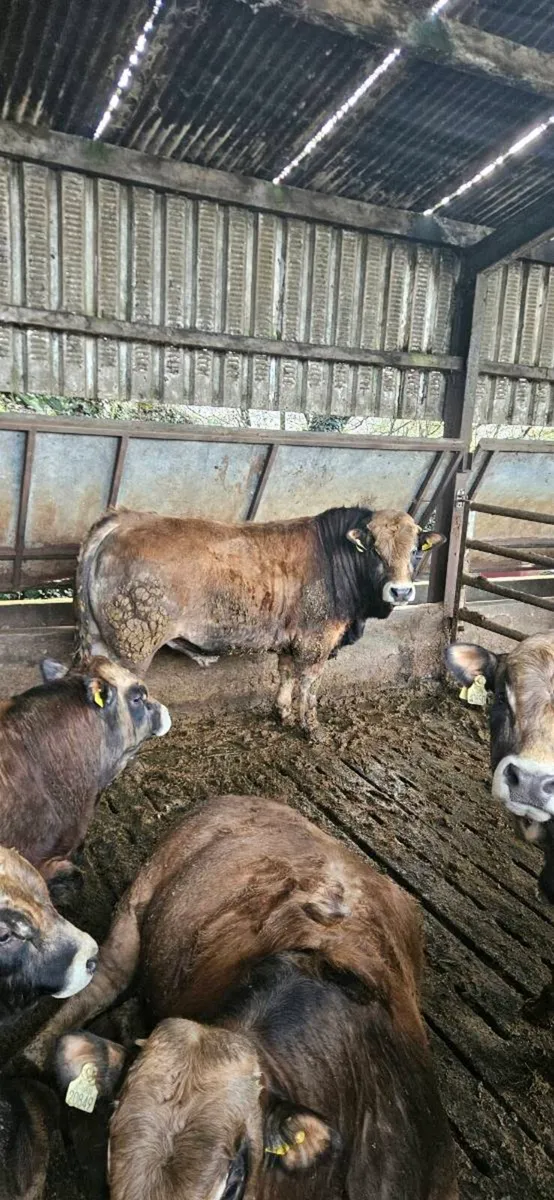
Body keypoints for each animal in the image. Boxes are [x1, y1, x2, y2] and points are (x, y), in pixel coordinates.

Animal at [76, 507, 445, 735]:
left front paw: (282, 713)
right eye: (374, 550)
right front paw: (311, 728)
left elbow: (285, 675)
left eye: (416, 551)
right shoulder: (316, 642)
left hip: (99, 640)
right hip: (132, 646)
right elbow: (308, 685)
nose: (401, 591)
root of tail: (123, 520)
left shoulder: (291, 640)